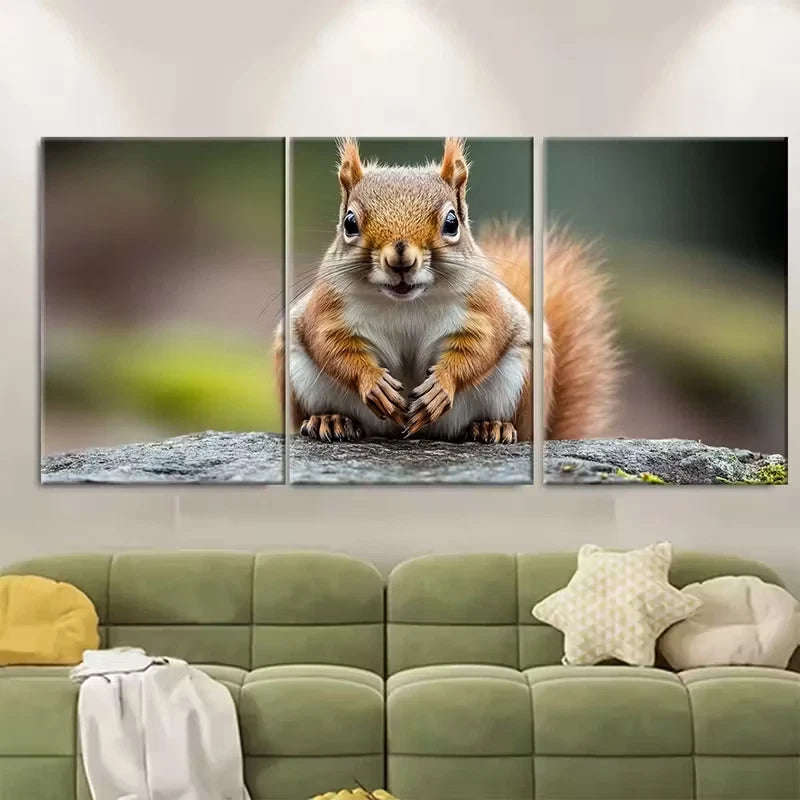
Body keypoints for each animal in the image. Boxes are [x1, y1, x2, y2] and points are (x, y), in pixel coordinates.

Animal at [274, 138, 617, 443]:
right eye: (349, 223)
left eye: (452, 222)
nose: (401, 258)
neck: (405, 303)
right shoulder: (328, 309)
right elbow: (332, 345)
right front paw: (373, 382)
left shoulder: (484, 309)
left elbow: (480, 347)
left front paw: (441, 386)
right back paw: (330, 419)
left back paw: (492, 426)